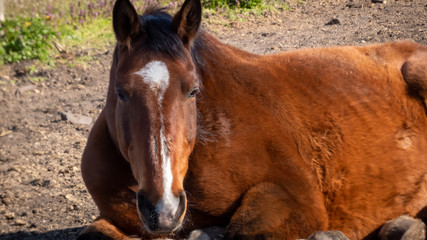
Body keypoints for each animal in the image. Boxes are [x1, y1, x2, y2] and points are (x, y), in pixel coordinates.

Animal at [77, 0, 427, 239]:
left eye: (193, 90)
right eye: (122, 93)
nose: (163, 210)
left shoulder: (297, 199)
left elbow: (242, 232)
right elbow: (94, 234)